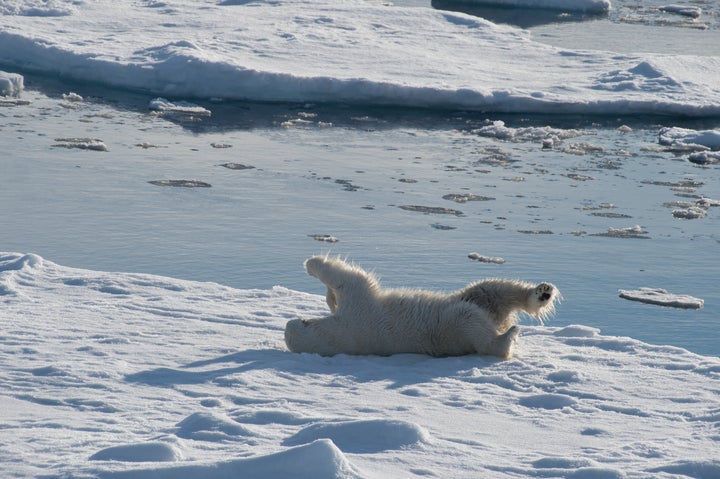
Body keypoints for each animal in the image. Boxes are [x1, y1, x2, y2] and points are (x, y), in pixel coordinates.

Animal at [284, 256, 560, 358]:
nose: (289, 322)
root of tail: (500, 320)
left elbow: (340, 290)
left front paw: (328, 296)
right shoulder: (356, 317)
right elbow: (350, 279)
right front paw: (314, 264)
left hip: (471, 299)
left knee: (491, 288)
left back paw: (543, 292)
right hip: (451, 329)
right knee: (474, 319)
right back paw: (507, 338)